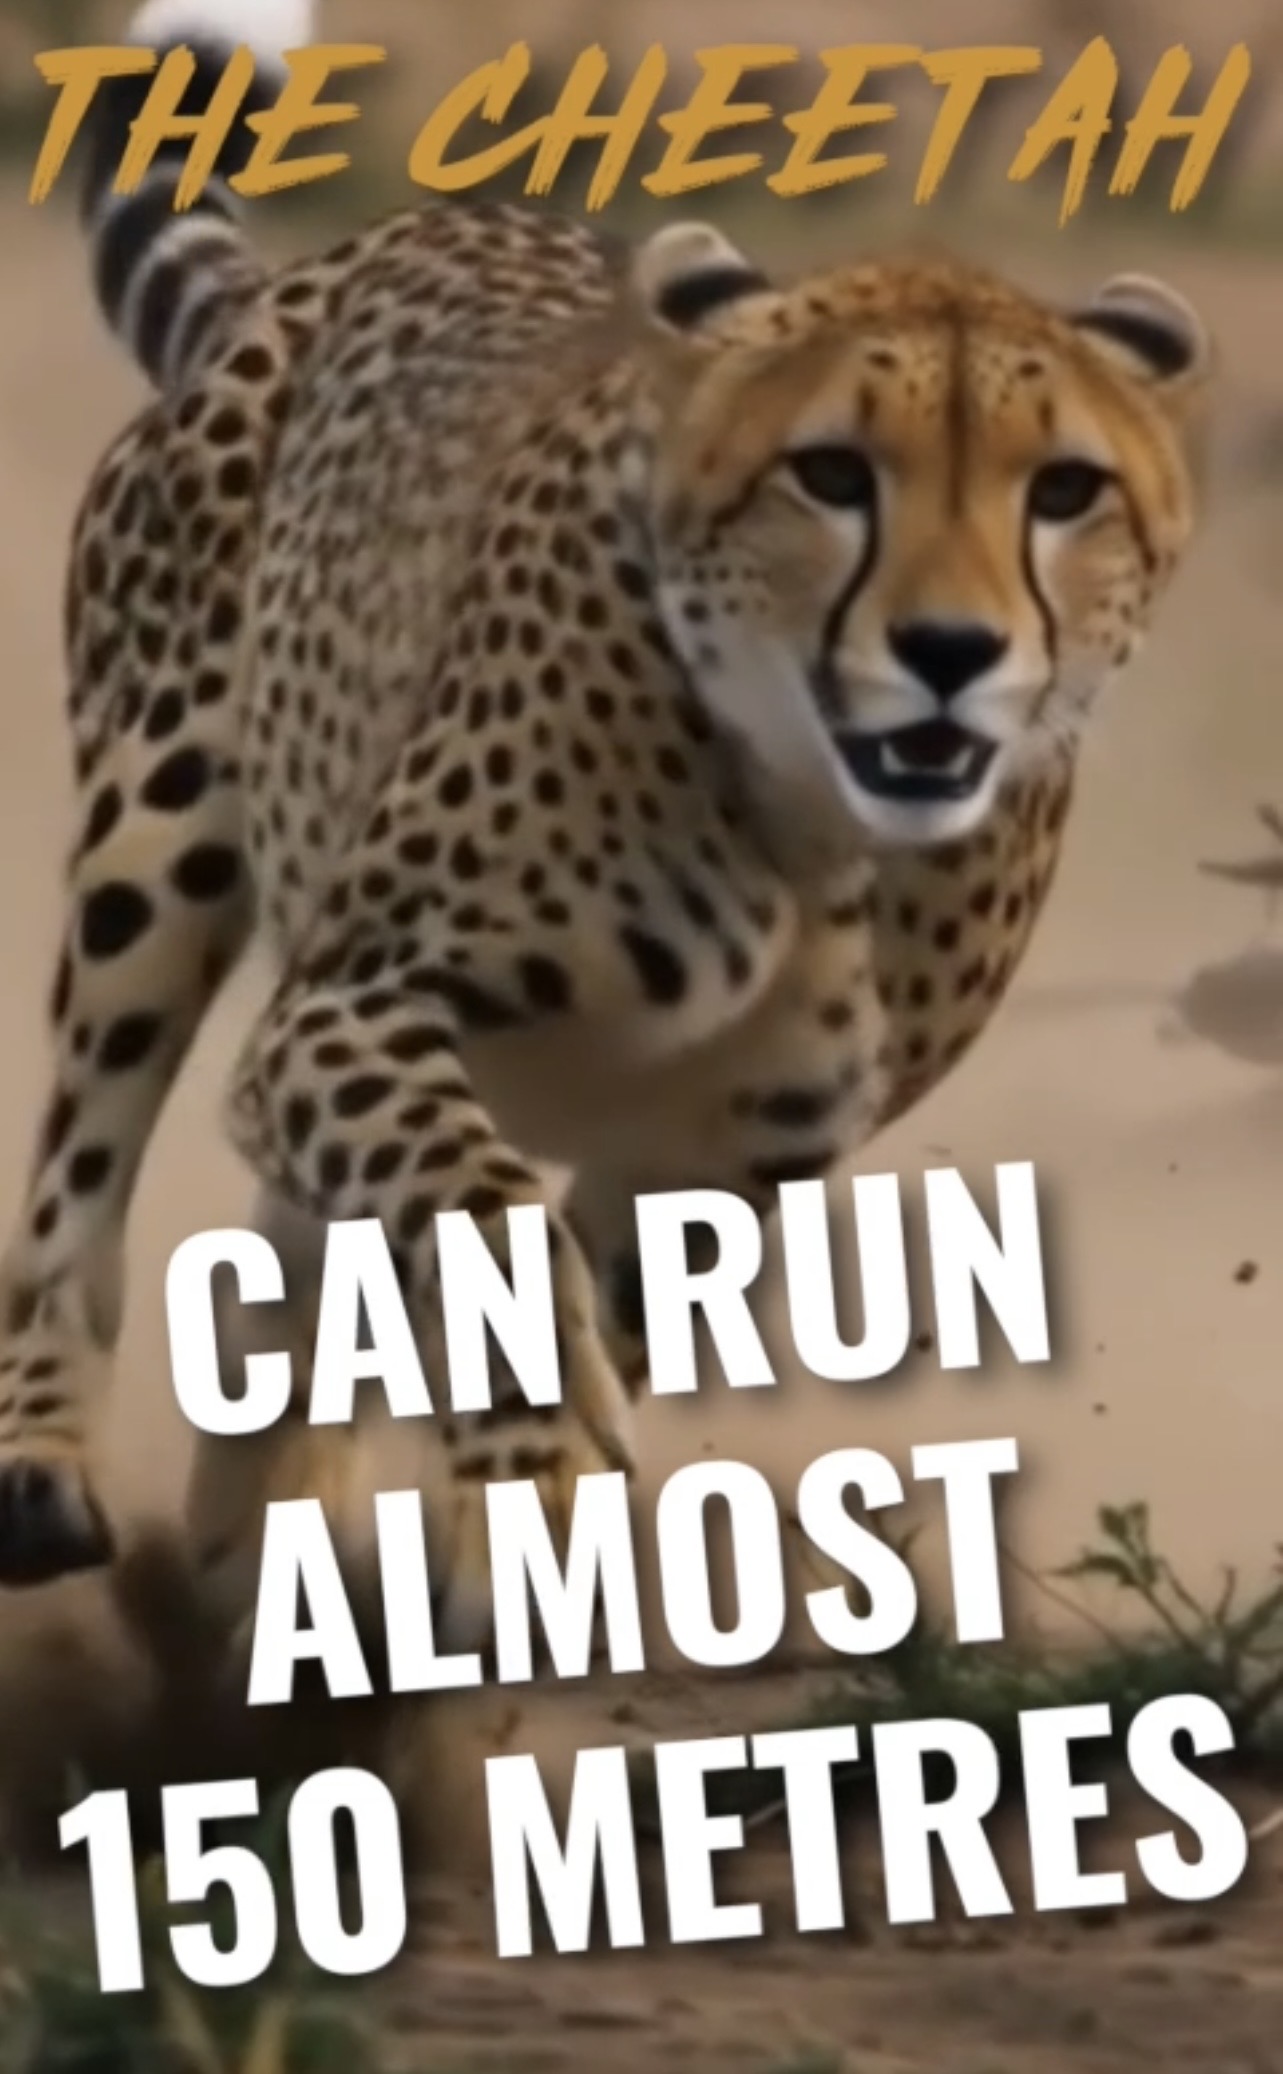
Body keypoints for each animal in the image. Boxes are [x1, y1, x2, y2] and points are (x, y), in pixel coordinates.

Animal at [0, 0, 1211, 1644]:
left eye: (1063, 489)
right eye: (829, 472)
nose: (949, 650)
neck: (811, 825)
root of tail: (321, 269)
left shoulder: (741, 1147)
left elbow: (590, 1286)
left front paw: (514, 1542)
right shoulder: (351, 1001)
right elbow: (477, 1210)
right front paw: (534, 1464)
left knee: (295, 1262)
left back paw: (270, 1562)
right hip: (158, 828)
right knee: (84, 1172)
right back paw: (54, 1466)